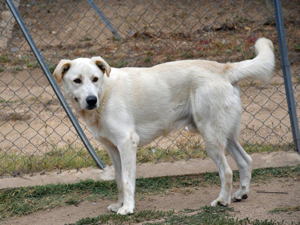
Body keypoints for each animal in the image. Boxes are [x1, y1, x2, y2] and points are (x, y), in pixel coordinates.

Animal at [53, 37, 274, 215]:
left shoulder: (127, 143)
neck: (105, 92)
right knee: (246, 160)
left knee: (227, 171)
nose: (91, 100)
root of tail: (223, 68)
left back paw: (222, 200)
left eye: (95, 79)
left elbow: (127, 181)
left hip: (211, 138)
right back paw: (241, 194)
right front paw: (119, 204)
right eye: (77, 80)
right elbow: (118, 180)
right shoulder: (113, 150)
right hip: (225, 136)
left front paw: (127, 208)